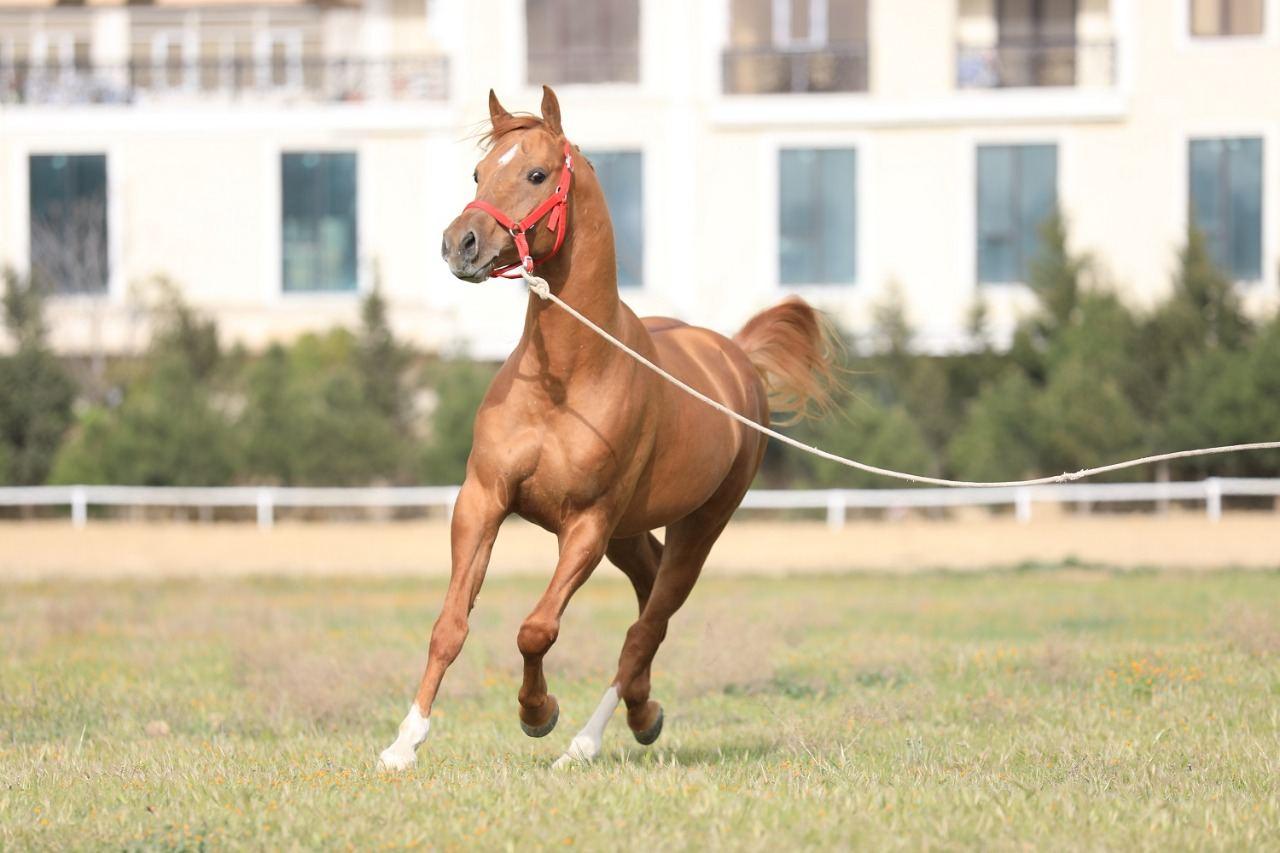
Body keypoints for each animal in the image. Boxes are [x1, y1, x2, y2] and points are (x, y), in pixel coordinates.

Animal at [378, 87, 839, 768]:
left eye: (536, 174)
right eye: (478, 173)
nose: (460, 243)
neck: (566, 378)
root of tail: (735, 355)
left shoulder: (586, 525)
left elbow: (536, 629)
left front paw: (538, 713)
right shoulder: (483, 501)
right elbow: (450, 625)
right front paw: (404, 742)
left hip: (699, 526)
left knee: (648, 625)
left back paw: (586, 742)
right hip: (631, 532)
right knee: (649, 599)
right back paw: (642, 712)